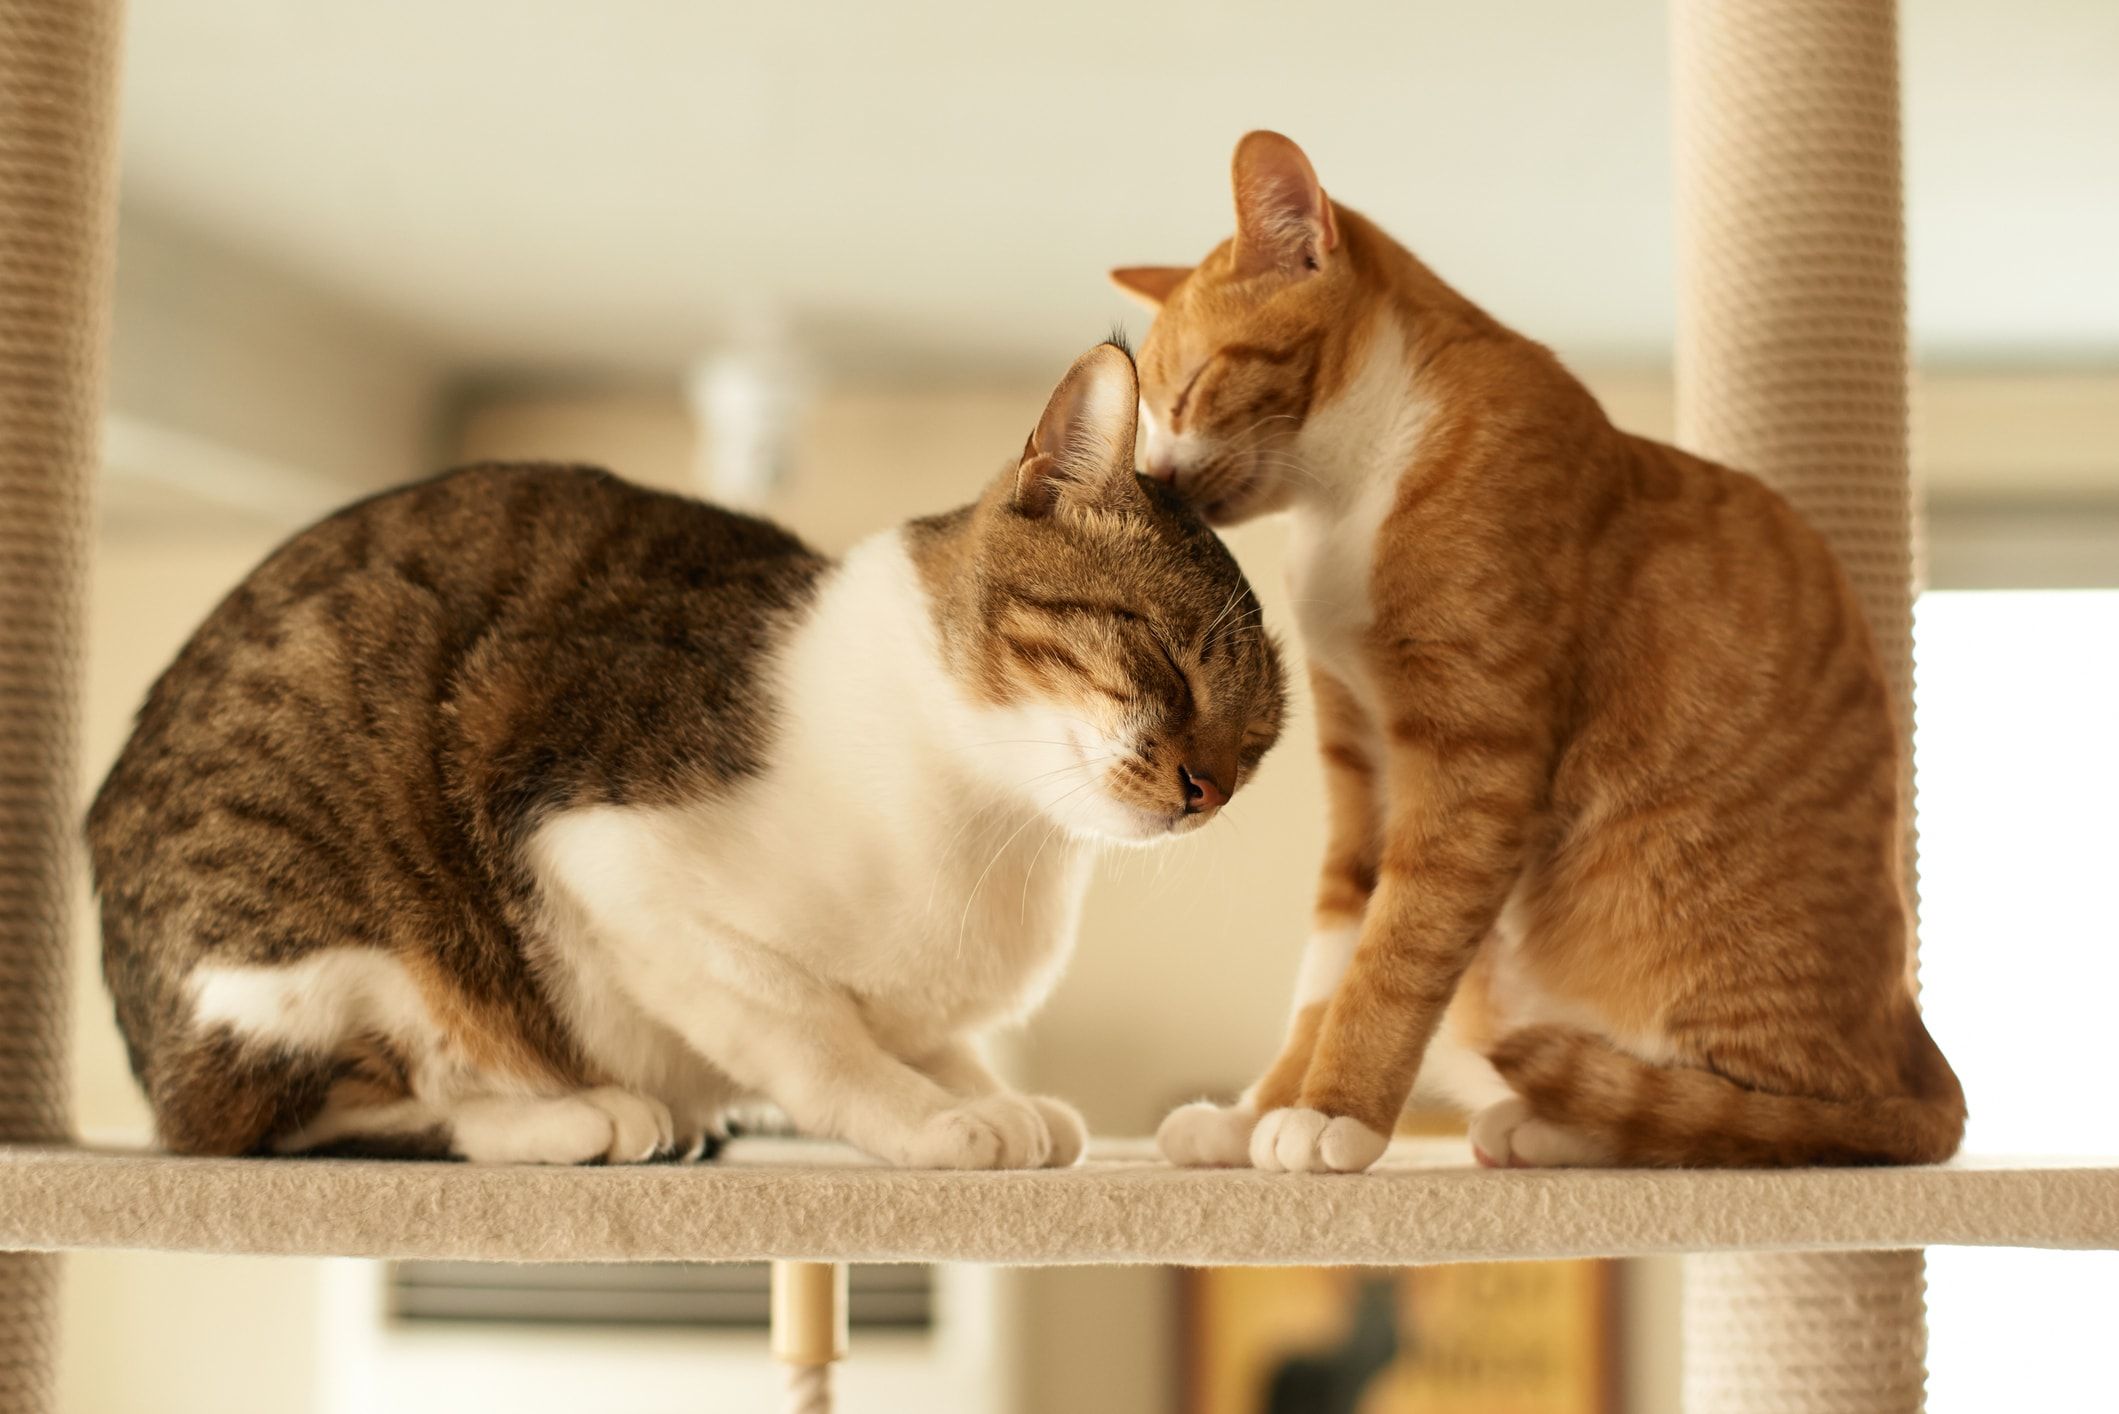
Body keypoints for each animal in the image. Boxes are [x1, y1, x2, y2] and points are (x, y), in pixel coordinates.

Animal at [91, 345, 1279, 1170]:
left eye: (1256, 740)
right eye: (1170, 663)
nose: (1207, 789)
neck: (1001, 823)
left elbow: (922, 1039)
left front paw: (987, 1094)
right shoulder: (607, 865)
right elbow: (820, 1039)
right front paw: (937, 1119)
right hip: (333, 951)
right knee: (285, 1119)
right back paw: (577, 1117)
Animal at [1118, 129, 1957, 1170]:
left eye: (1190, 389)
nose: (1153, 473)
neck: (1349, 493)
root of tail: (1921, 1057)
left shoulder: (1476, 767)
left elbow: (1391, 957)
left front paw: (1331, 1114)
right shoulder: (1360, 771)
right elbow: (1328, 964)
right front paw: (1249, 1118)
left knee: (1739, 1122)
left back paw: (1556, 1124)